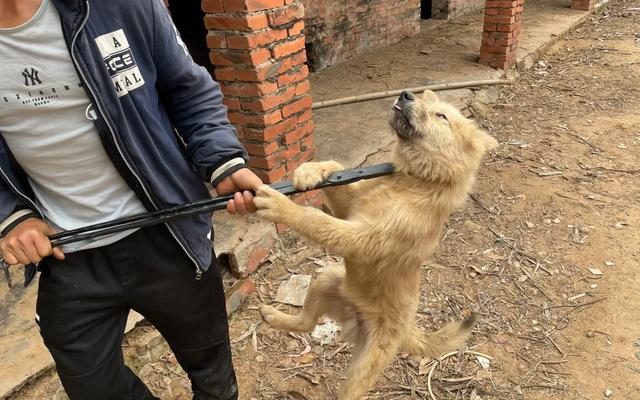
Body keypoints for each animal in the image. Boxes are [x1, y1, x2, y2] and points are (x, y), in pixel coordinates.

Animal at [252, 89, 498, 398]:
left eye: (441, 116)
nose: (405, 94)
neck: (414, 181)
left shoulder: (360, 237)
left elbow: (315, 218)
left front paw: (281, 207)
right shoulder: (350, 210)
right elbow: (336, 167)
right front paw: (309, 171)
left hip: (362, 368)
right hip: (327, 279)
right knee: (306, 324)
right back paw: (273, 316)